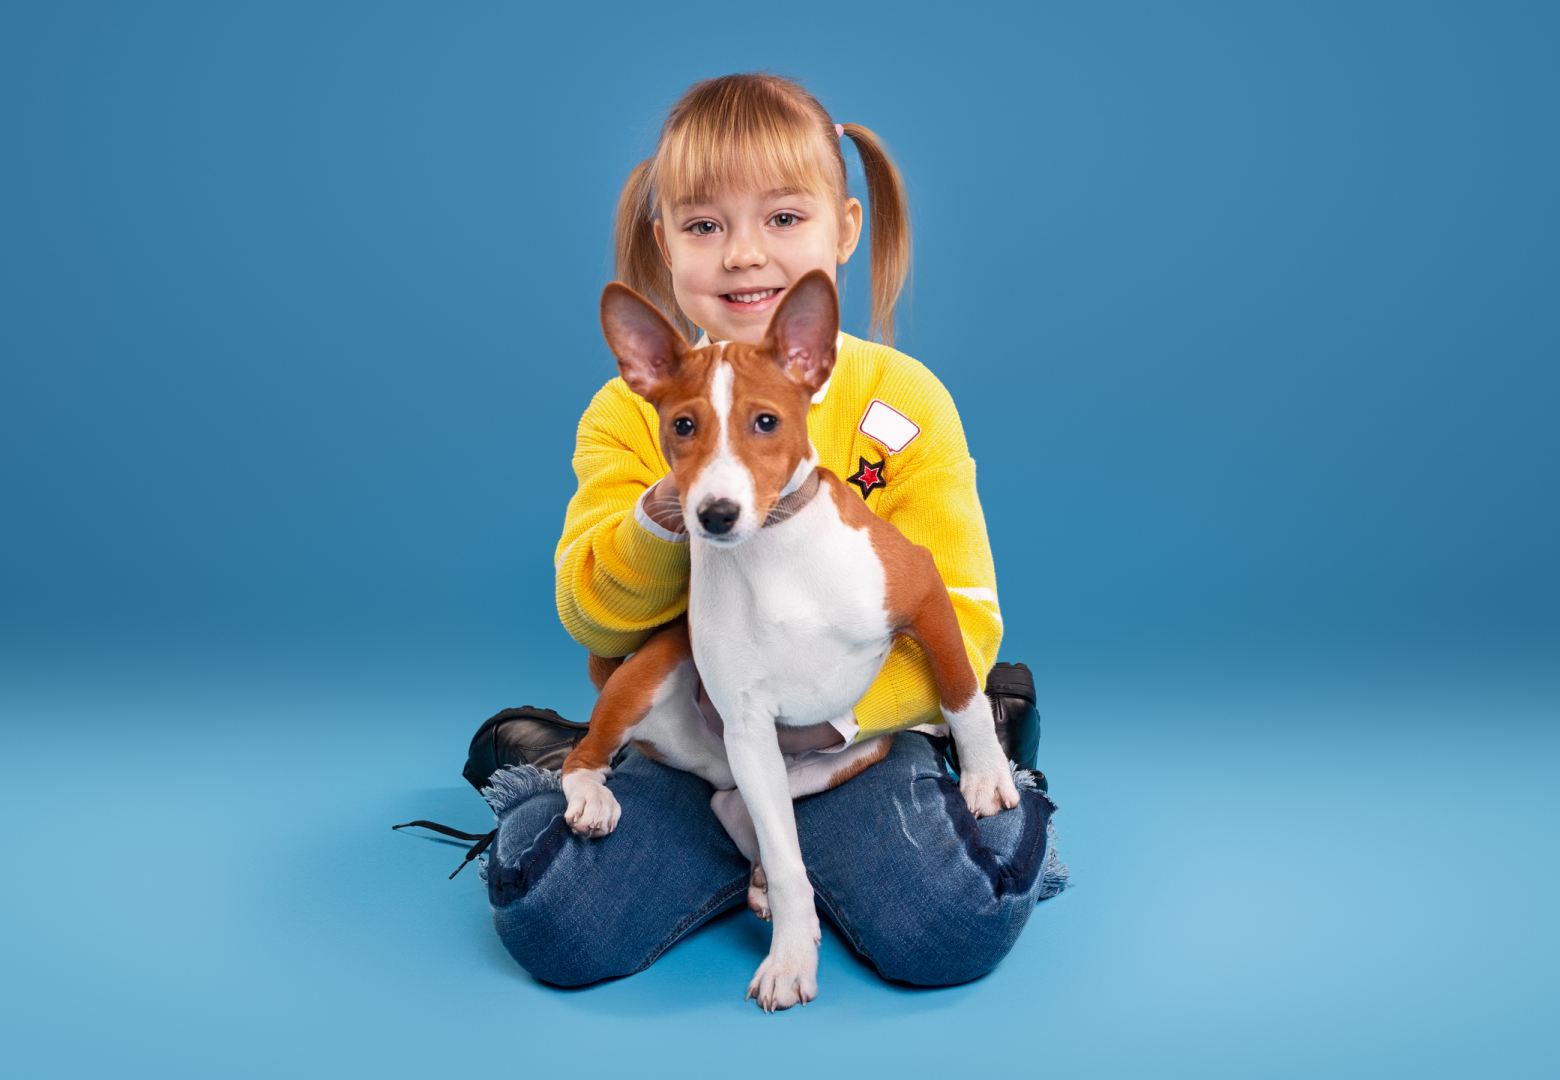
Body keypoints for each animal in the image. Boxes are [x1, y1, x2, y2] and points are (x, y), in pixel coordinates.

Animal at [555, 265, 1017, 1011]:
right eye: (683, 426)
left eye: (766, 422)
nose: (714, 515)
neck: (774, 549)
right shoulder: (749, 726)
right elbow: (788, 856)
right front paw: (791, 958)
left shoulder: (926, 592)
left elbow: (961, 690)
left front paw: (984, 776)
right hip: (662, 676)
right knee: (588, 757)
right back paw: (597, 801)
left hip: (854, 751)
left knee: (728, 803)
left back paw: (758, 884)